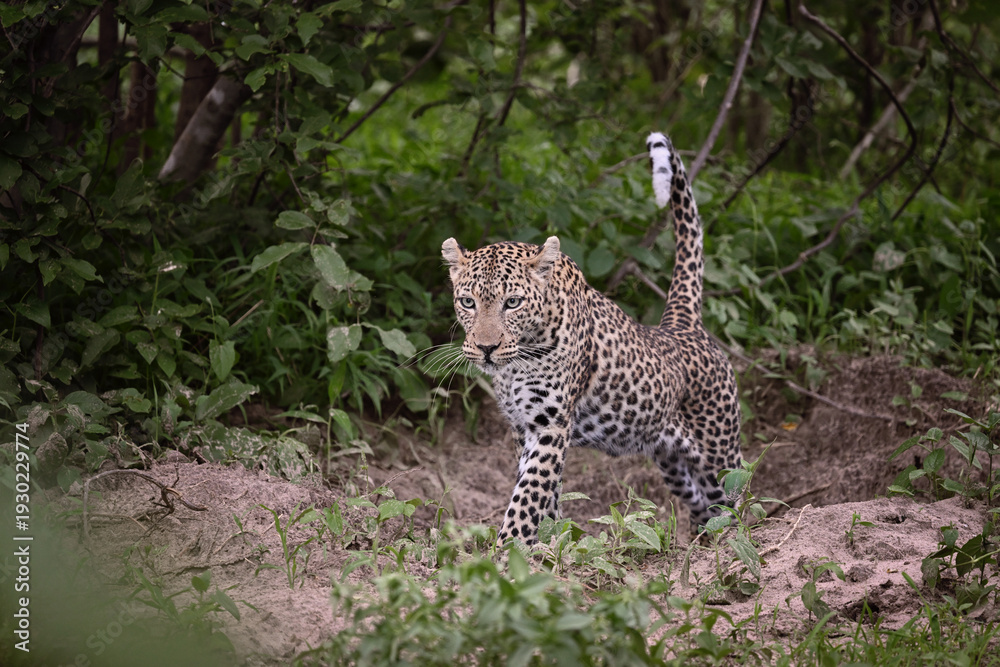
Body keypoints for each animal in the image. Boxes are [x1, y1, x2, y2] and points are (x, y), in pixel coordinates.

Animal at [441, 132, 742, 546]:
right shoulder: (523, 429)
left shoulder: (549, 424)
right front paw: (551, 542)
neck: (518, 361)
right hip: (672, 461)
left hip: (720, 451)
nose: (486, 348)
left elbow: (528, 495)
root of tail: (681, 326)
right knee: (703, 505)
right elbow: (545, 493)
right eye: (467, 302)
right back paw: (702, 543)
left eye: (512, 302)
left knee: (739, 496)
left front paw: (505, 551)